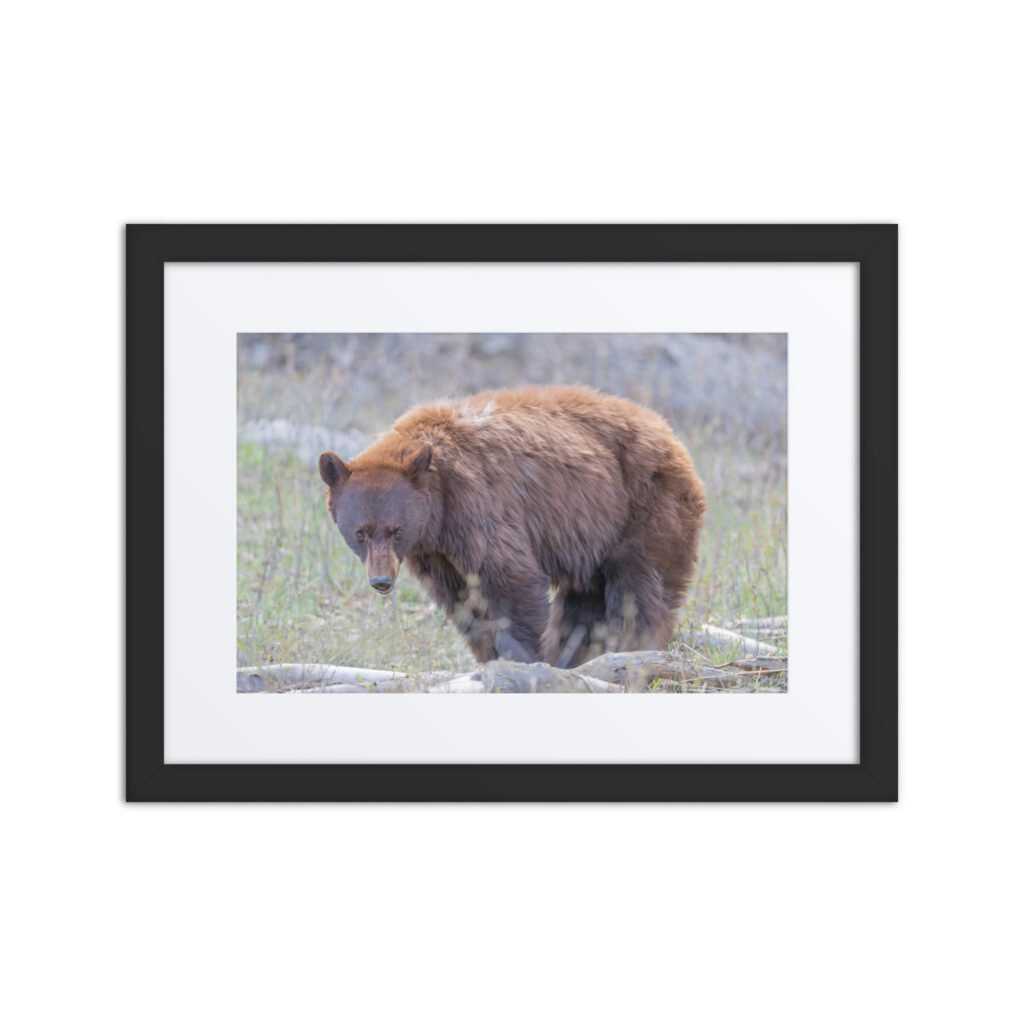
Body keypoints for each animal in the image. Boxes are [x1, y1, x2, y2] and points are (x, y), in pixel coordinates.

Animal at [318, 385, 706, 668]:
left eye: (396, 530)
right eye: (361, 533)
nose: (381, 581)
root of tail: (669, 433)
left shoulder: (479, 506)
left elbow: (510, 579)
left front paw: (522, 657)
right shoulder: (435, 552)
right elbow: (460, 599)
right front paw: (490, 655)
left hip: (644, 507)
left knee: (639, 588)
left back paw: (631, 648)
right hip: (594, 534)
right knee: (584, 600)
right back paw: (575, 654)